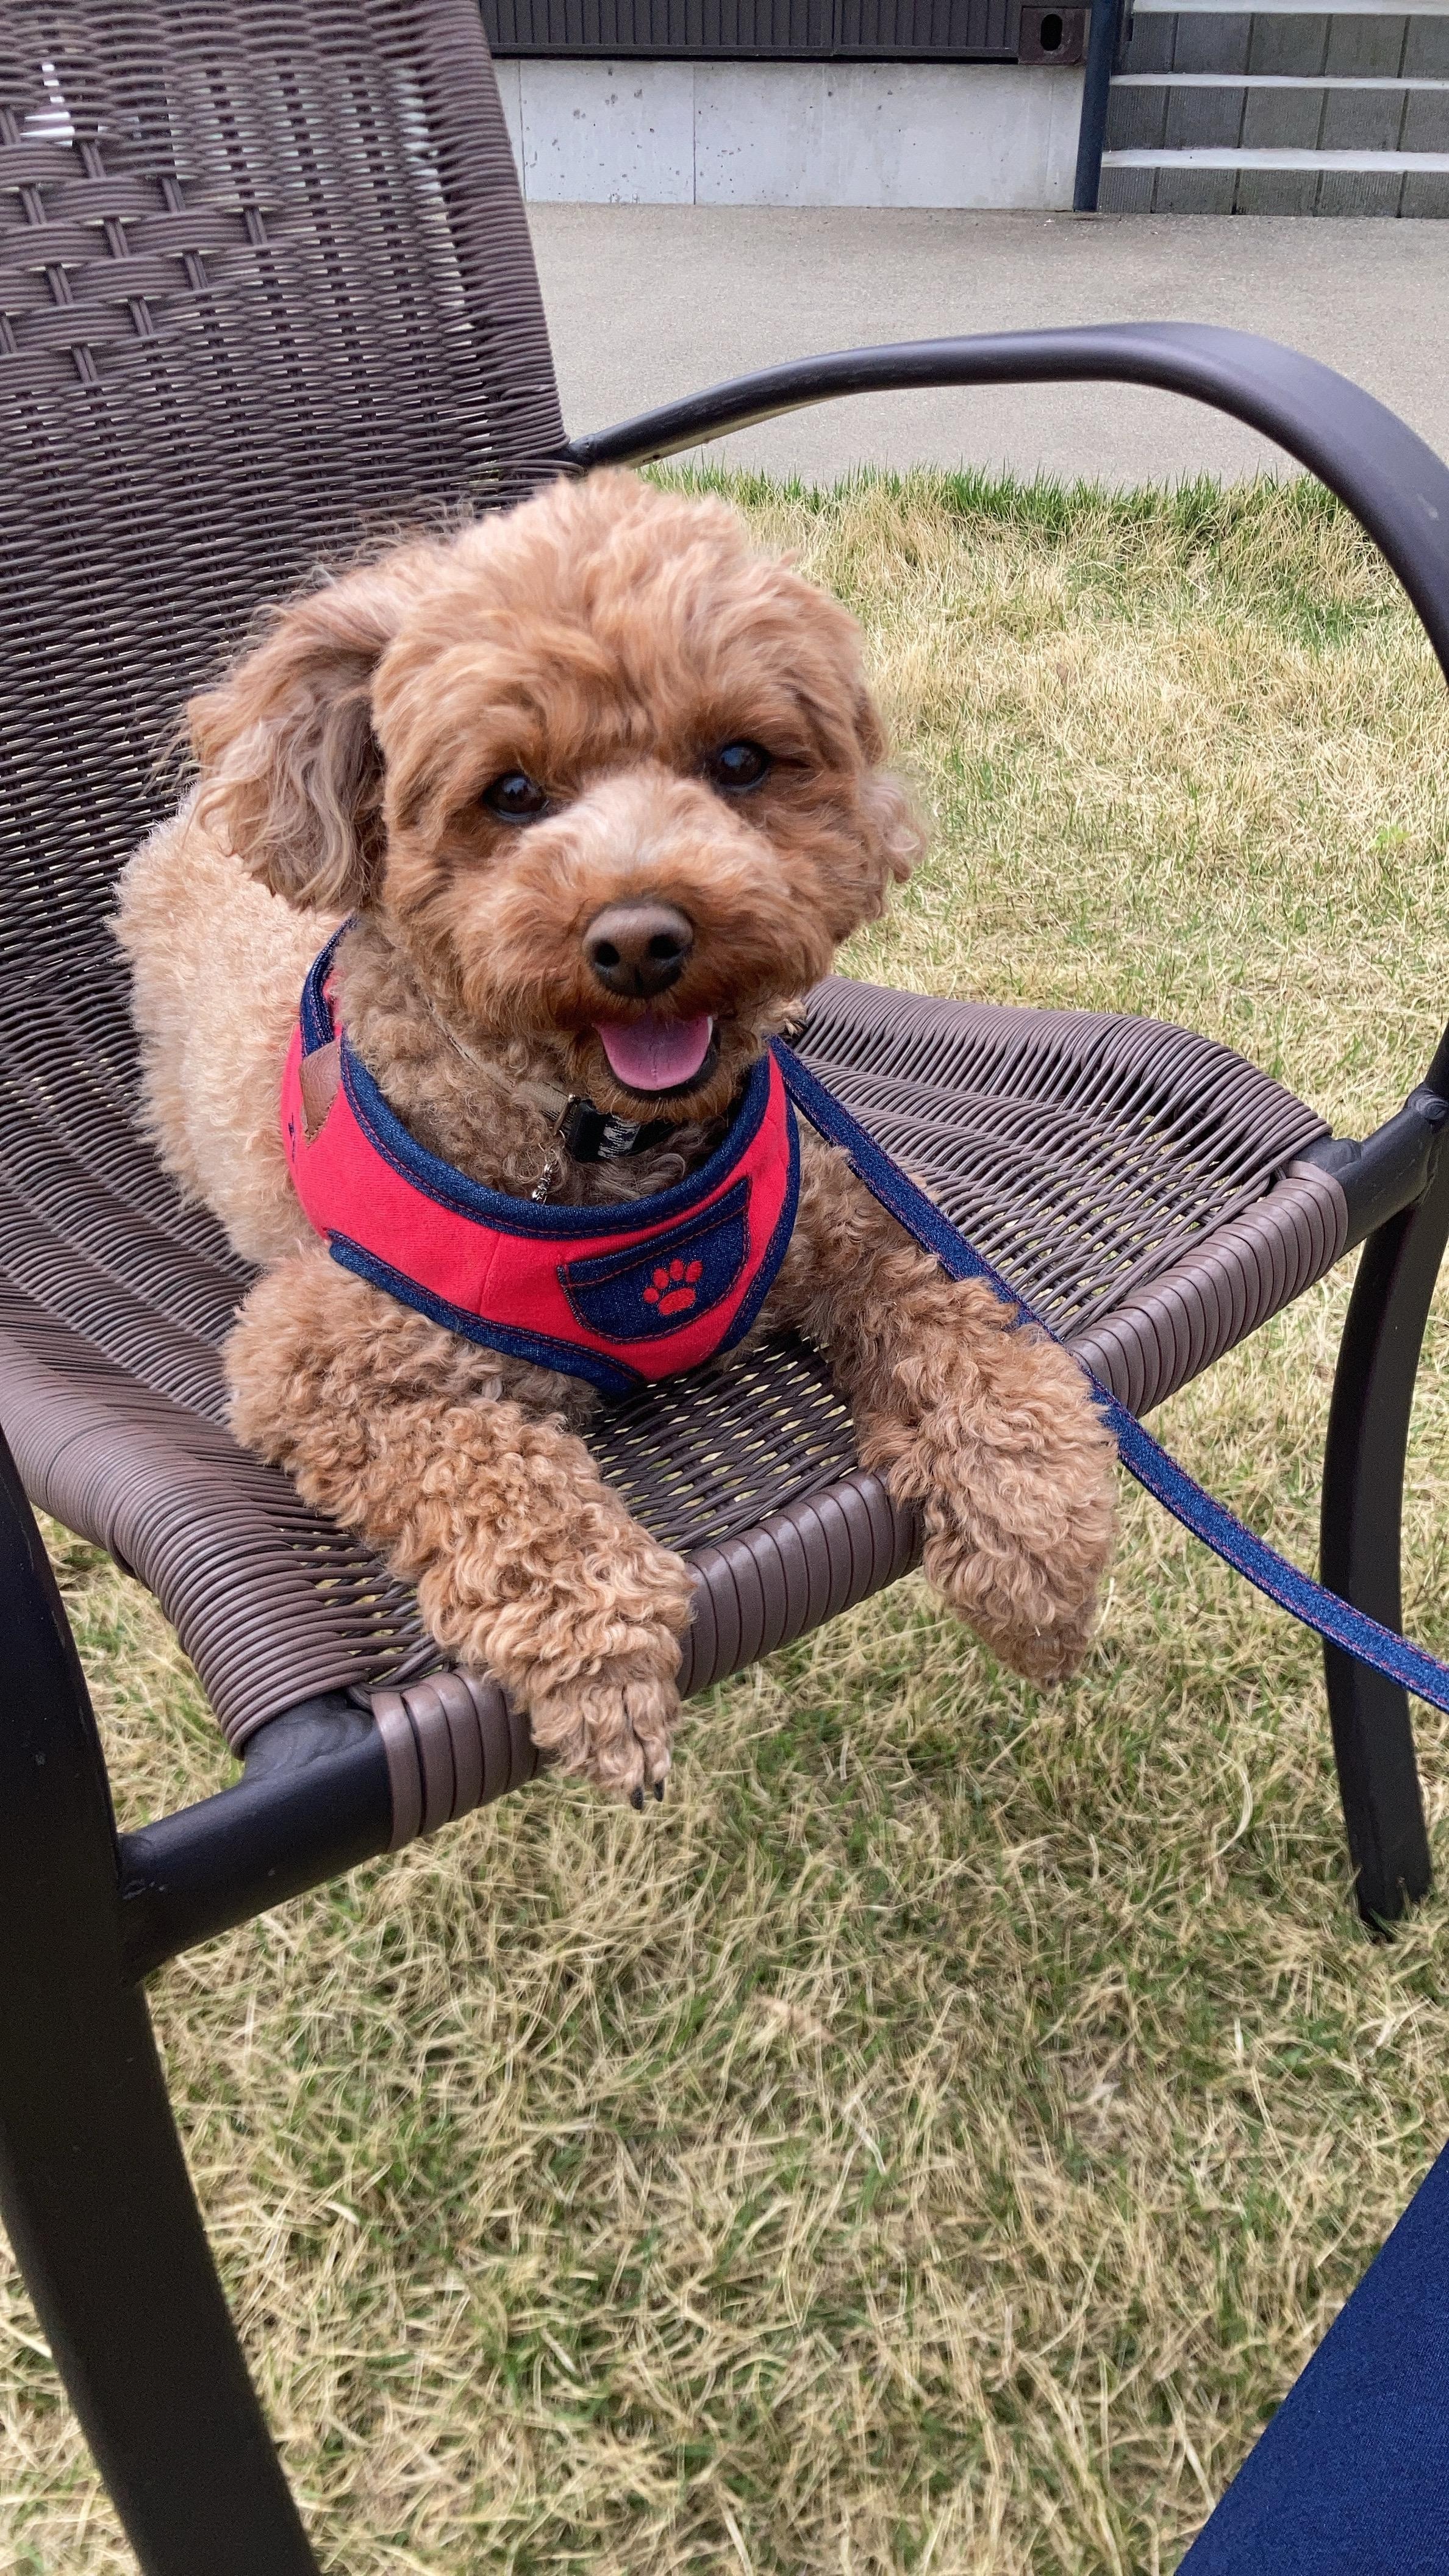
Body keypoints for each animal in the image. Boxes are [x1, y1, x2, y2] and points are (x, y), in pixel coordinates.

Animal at [117, 471, 1116, 1801]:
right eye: (511, 793)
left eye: (740, 761)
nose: (641, 938)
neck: (606, 1144)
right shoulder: (315, 1360)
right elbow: (487, 1470)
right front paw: (599, 1651)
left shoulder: (842, 1226)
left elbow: (964, 1333)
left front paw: (1035, 1533)